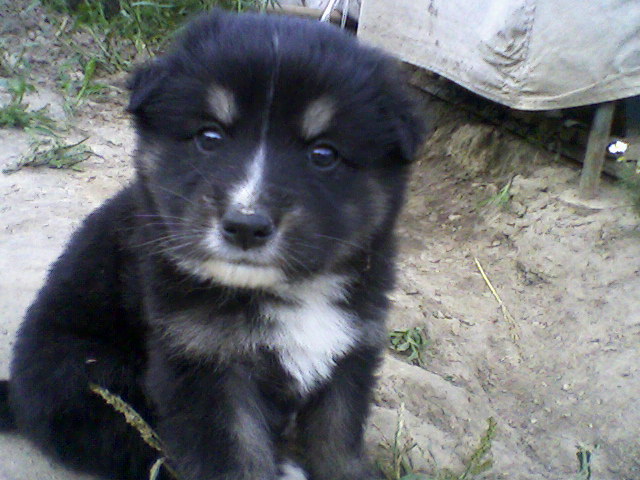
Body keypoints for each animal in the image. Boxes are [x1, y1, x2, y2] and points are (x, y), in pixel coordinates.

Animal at [1, 10, 424, 480]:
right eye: (210, 137)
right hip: (92, 376)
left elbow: (337, 438)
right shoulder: (205, 362)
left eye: (324, 154)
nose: (245, 226)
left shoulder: (351, 344)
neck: (289, 292)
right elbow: (234, 457)